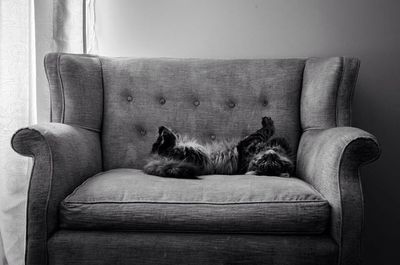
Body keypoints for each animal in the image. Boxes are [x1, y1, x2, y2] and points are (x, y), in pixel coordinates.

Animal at [144, 115, 294, 177]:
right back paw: (164, 131)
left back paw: (166, 133)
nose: (270, 154)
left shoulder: (245, 145)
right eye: (264, 160)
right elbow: (270, 136)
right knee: (157, 146)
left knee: (162, 147)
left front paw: (269, 124)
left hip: (197, 152)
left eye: (269, 161)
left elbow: (263, 132)